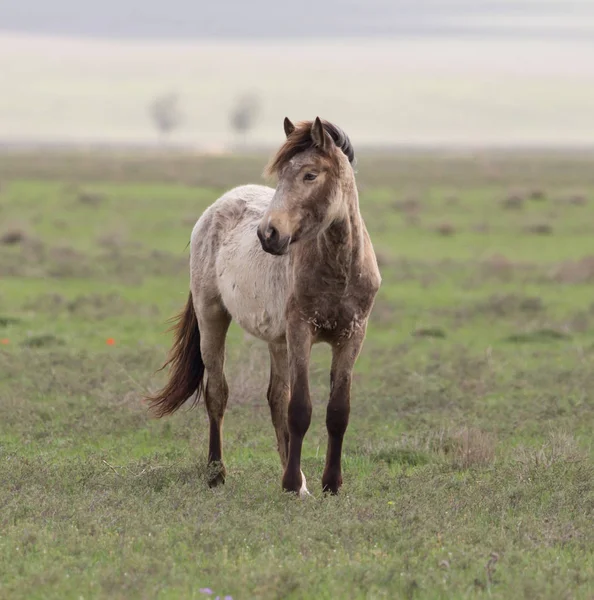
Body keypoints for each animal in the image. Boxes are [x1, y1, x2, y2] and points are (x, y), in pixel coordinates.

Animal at [146, 117, 382, 496]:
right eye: (281, 175)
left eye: (310, 175)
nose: (268, 234)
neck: (338, 268)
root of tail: (218, 206)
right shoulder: (301, 332)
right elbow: (300, 409)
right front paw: (292, 483)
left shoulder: (351, 336)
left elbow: (337, 411)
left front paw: (328, 484)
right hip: (213, 317)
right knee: (217, 393)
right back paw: (217, 474)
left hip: (278, 340)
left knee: (275, 398)